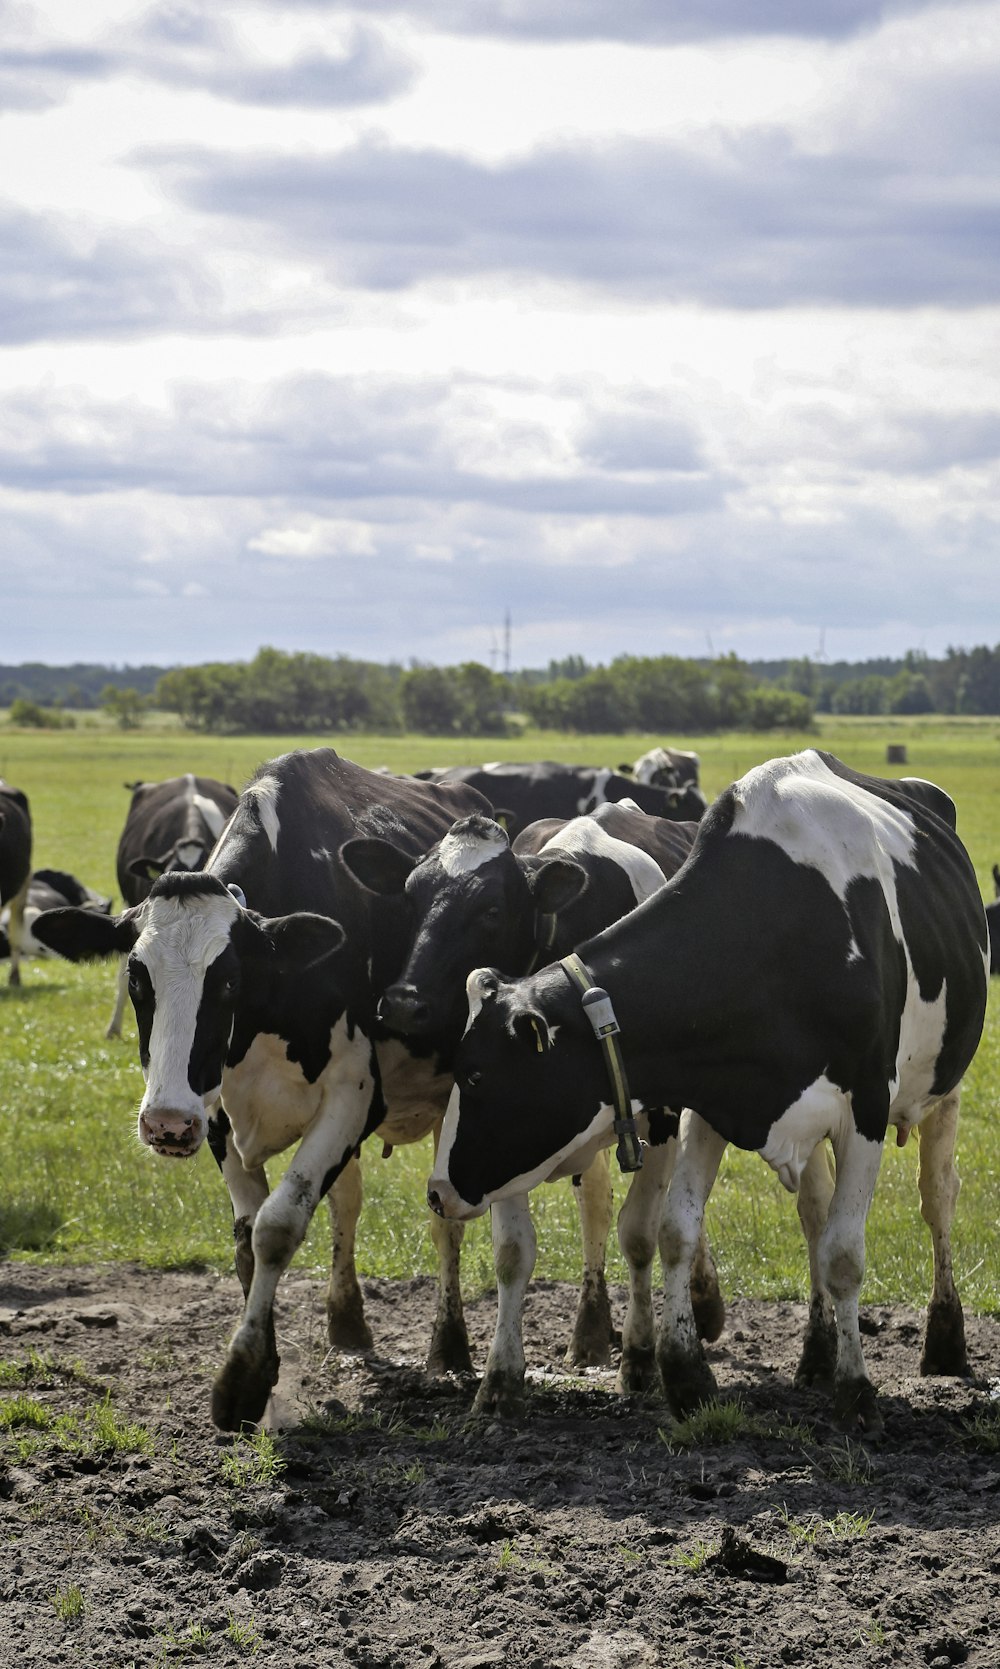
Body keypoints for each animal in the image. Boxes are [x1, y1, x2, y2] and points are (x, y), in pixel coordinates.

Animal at [342, 801, 721, 1415]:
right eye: (409, 899)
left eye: (492, 909)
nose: (402, 1002)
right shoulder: (502, 1125)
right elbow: (514, 1252)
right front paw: (500, 1378)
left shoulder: (661, 1113)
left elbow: (640, 1234)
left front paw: (640, 1360)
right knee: (594, 1202)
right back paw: (589, 1331)